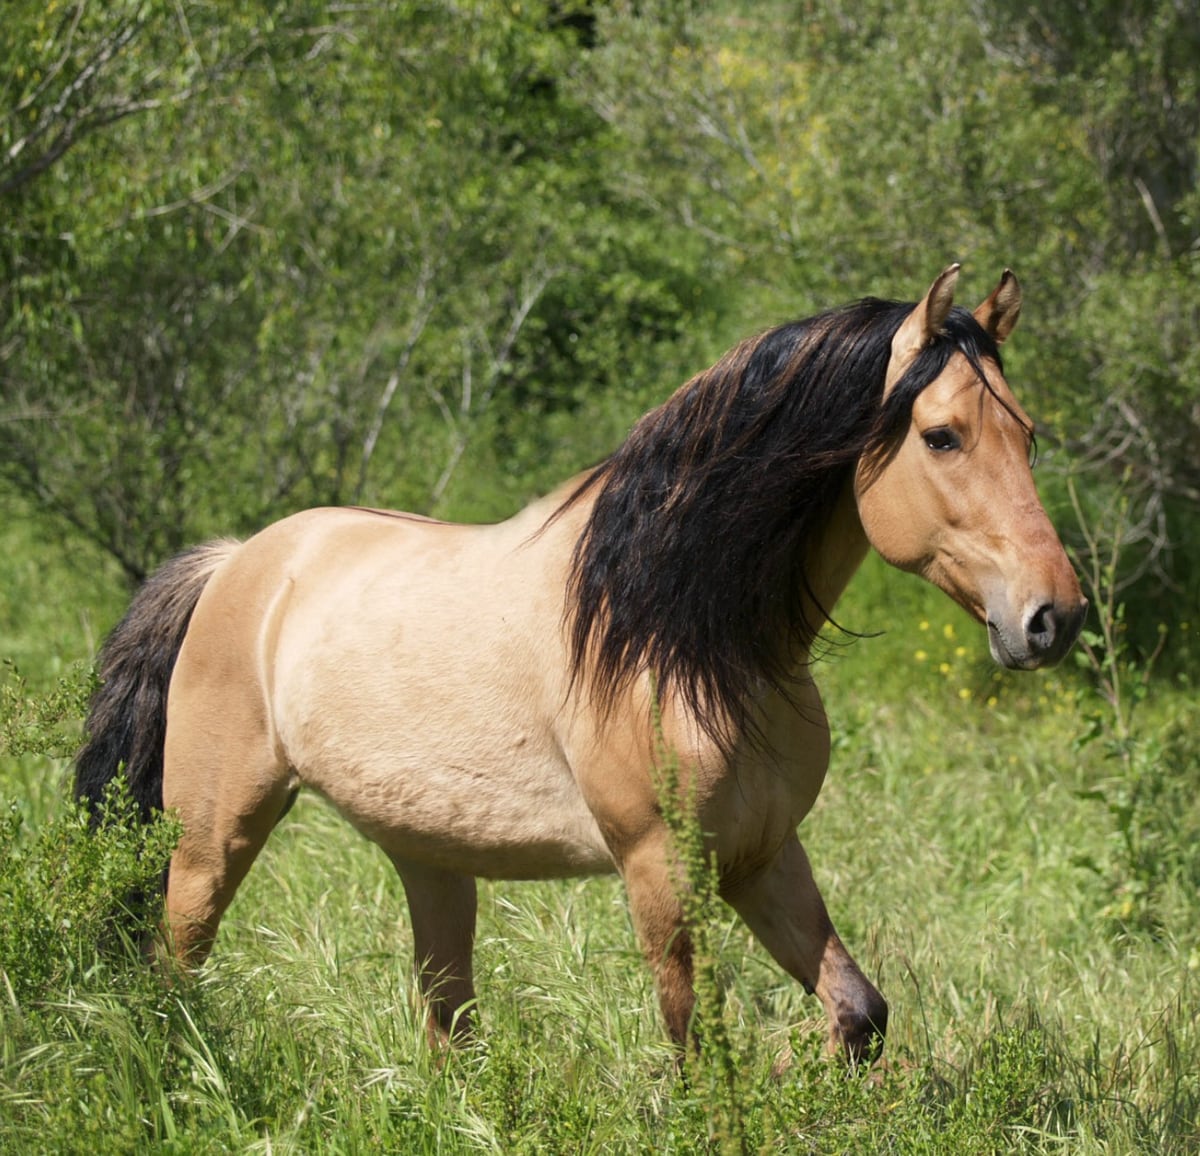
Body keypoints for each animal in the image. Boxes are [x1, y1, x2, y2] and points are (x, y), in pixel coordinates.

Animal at [75, 266, 1089, 1061]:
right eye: (942, 435)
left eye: (1029, 434)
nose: (1054, 616)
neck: (680, 638)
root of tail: (237, 562)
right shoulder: (661, 873)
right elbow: (697, 1051)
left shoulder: (762, 856)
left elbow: (857, 1012)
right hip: (213, 837)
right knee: (176, 968)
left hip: (427, 859)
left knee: (448, 1031)